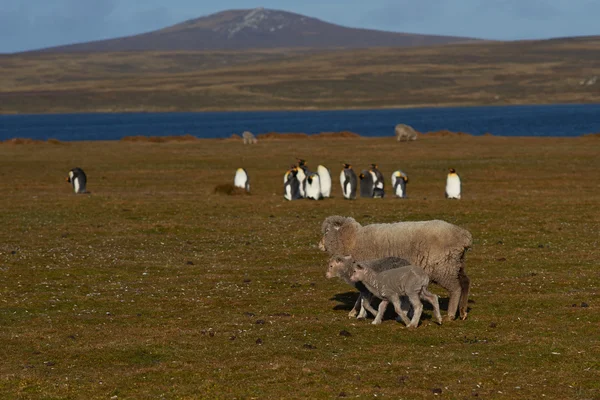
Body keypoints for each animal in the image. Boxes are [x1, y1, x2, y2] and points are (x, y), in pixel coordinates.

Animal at [318, 216, 474, 322]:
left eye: (327, 231)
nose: (319, 245)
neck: (353, 240)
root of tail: (464, 236)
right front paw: (354, 312)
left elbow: (363, 297)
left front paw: (358, 313)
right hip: (456, 264)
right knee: (465, 282)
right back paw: (463, 312)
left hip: (443, 267)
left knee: (455, 288)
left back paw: (451, 314)